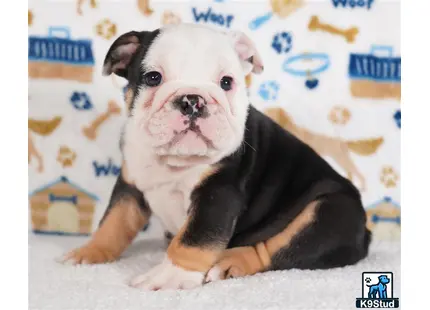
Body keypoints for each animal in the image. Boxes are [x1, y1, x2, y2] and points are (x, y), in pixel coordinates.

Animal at [59, 23, 370, 290]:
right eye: (153, 78)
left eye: (226, 82)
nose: (192, 100)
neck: (174, 162)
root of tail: (365, 232)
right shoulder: (130, 183)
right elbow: (114, 221)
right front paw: (90, 251)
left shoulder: (218, 193)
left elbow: (194, 238)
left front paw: (170, 276)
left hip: (328, 214)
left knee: (277, 249)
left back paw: (229, 261)